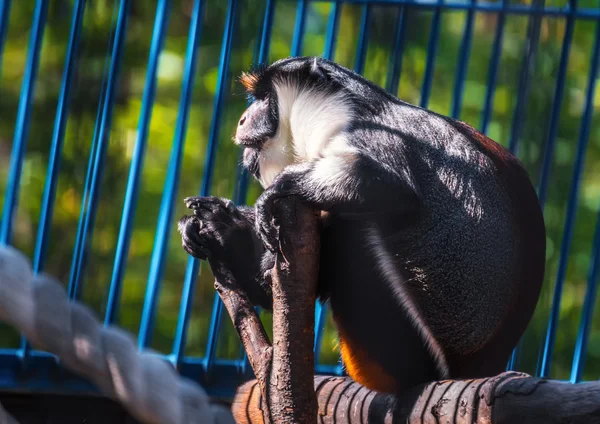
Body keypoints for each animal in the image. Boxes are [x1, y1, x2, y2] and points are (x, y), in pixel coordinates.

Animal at [176, 56, 548, 394]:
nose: (242, 120)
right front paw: (215, 225)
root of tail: (475, 368)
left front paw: (277, 190)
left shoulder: (370, 137)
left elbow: (392, 187)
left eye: (266, 98)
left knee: (355, 227)